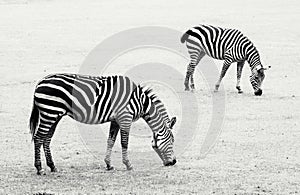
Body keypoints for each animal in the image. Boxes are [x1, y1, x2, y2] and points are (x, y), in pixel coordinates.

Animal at [28, 73, 176, 175]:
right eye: (172, 141)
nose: (173, 162)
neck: (139, 101)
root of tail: (39, 83)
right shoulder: (125, 118)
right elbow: (124, 142)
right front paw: (128, 165)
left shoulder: (115, 120)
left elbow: (111, 141)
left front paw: (109, 164)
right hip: (49, 113)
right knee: (38, 138)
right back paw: (39, 169)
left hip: (54, 115)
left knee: (46, 139)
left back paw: (52, 166)